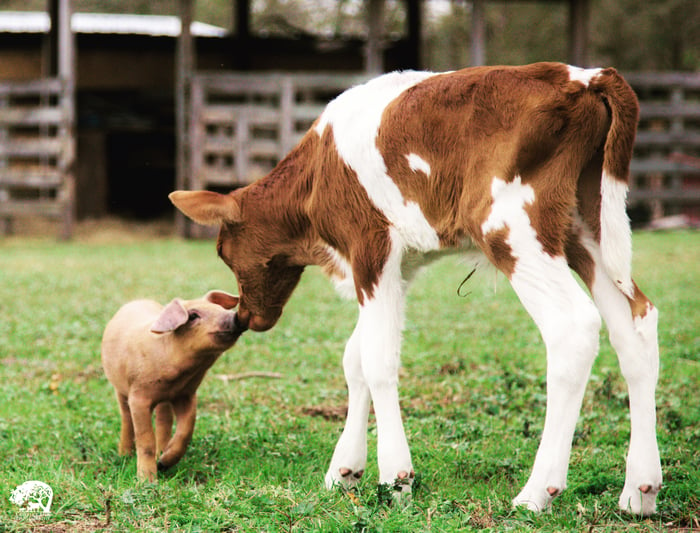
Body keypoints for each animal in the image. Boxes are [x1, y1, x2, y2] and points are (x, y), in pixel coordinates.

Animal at [170, 63, 660, 516]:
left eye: (223, 252)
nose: (245, 316)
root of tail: (587, 77)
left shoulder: (370, 245)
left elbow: (378, 359)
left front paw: (396, 478)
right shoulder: (399, 266)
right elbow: (355, 356)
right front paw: (344, 470)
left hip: (511, 225)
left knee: (573, 327)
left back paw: (537, 492)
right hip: (586, 226)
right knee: (636, 322)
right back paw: (640, 490)